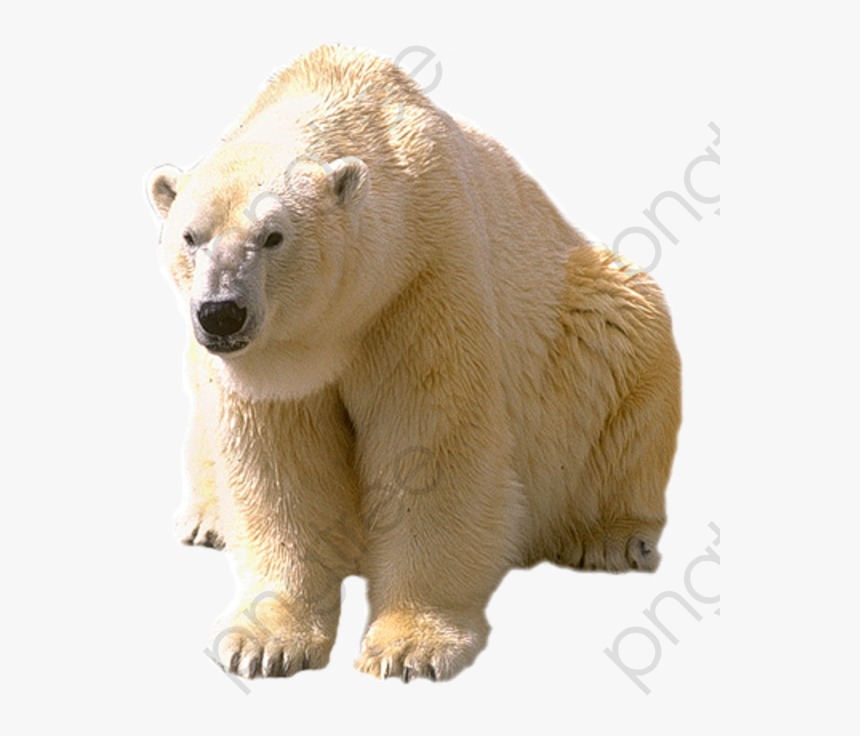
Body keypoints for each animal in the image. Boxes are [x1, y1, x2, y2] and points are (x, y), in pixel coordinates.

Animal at [147, 45, 681, 683]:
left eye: (273, 235)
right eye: (190, 236)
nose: (221, 312)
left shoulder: (423, 280)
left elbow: (429, 447)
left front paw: (409, 647)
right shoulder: (272, 363)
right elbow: (278, 464)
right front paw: (263, 644)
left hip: (586, 323)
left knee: (624, 345)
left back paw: (612, 537)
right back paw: (206, 519)